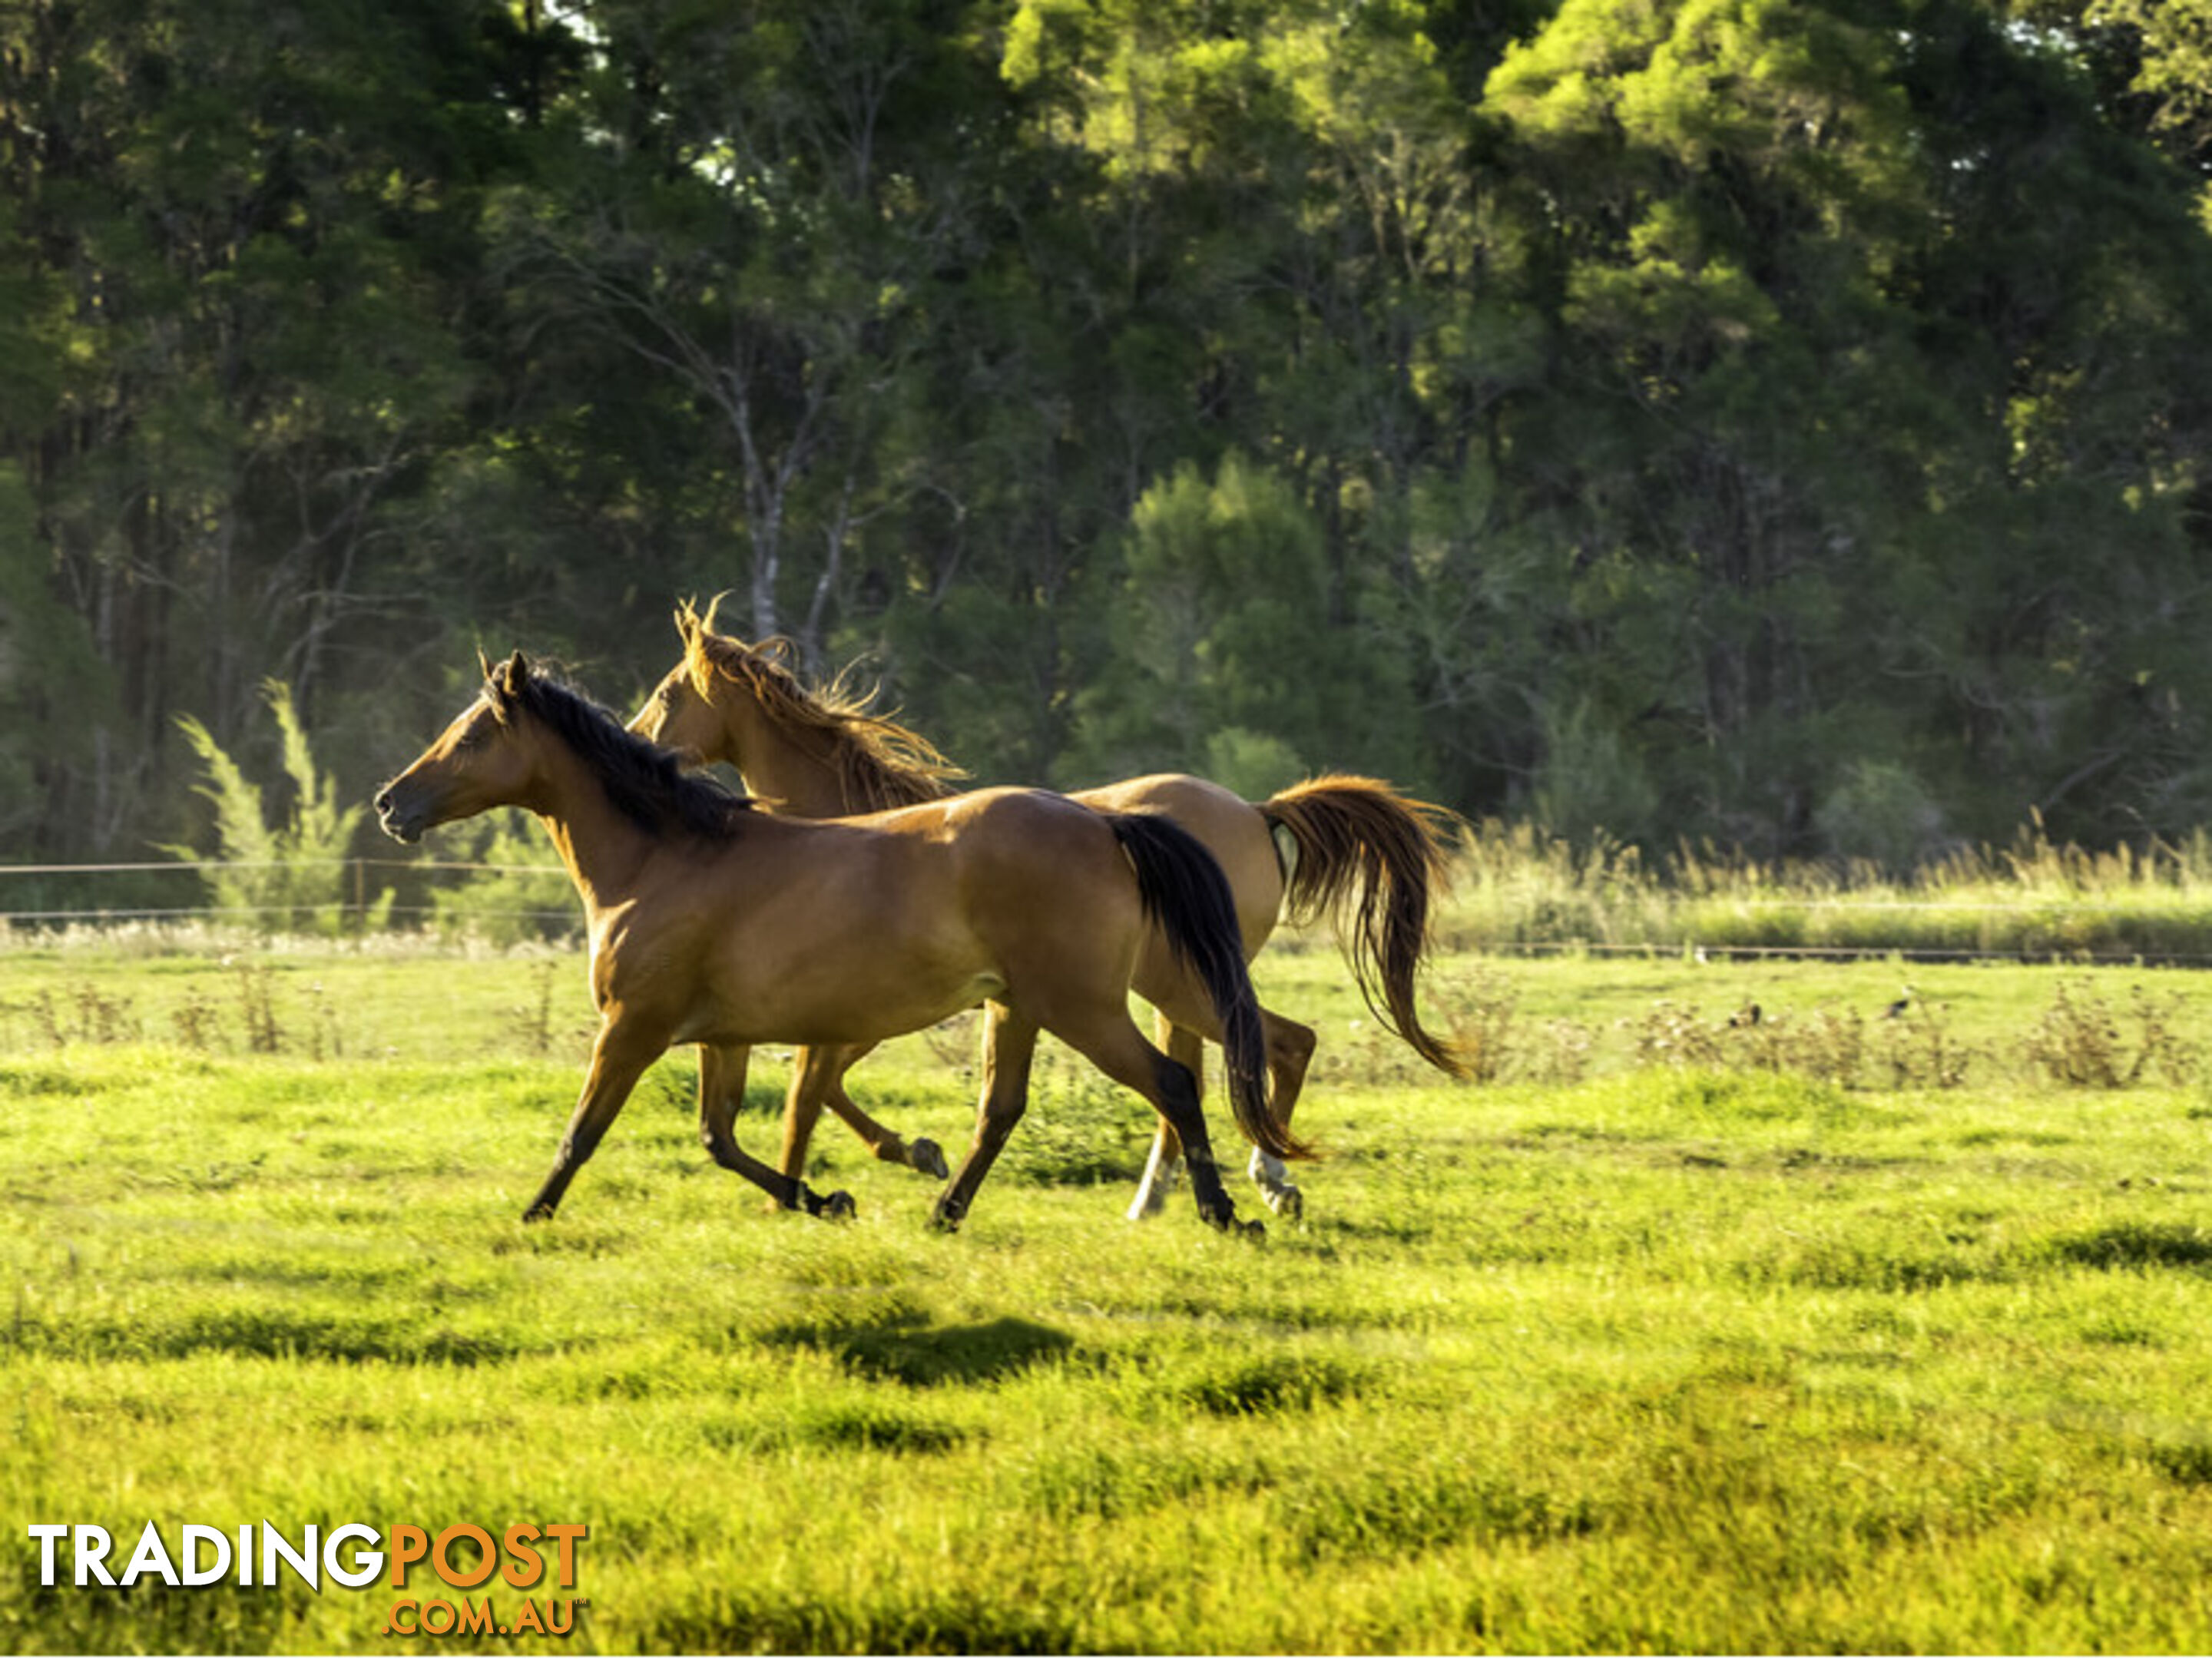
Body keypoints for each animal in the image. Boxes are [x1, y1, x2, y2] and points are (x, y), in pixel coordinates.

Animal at [371, 650, 1291, 1238]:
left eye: (472, 736)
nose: (390, 803)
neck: (665, 859)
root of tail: (1106, 823)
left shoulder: (632, 1029)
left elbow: (584, 1134)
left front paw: (532, 1214)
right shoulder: (724, 1038)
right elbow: (724, 1138)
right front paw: (828, 1200)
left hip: (1088, 1005)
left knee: (1175, 1082)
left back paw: (1228, 1211)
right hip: (1023, 1007)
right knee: (1003, 1110)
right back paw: (945, 1213)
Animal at [637, 601, 1469, 1220]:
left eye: (669, 693)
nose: (640, 746)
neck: (848, 826)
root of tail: (1257, 812)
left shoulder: (857, 1010)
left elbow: (810, 1096)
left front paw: (825, 1186)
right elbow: (831, 1092)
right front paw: (910, 1157)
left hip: (1170, 986)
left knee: (1258, 1052)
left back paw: (1263, 1181)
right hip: (1167, 988)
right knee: (1236, 1061)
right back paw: (1179, 1196)